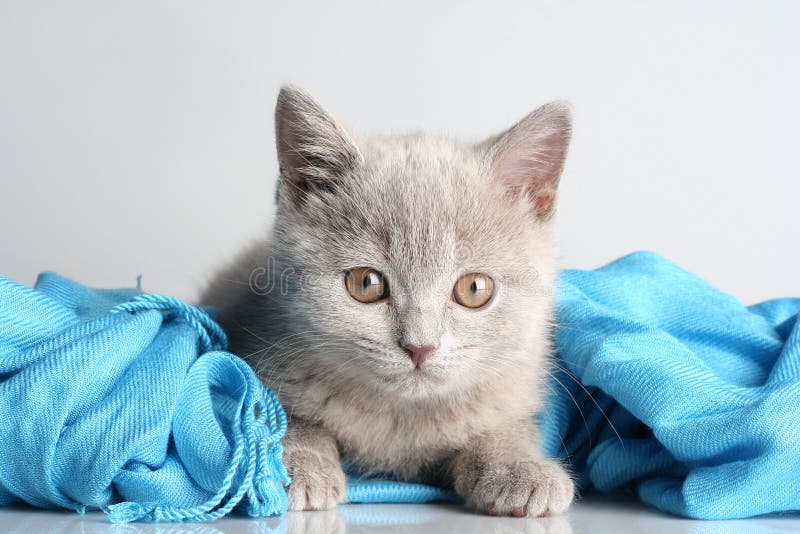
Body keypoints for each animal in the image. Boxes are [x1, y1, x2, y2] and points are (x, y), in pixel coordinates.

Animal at [202, 86, 576, 516]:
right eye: (365, 283)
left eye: (474, 289)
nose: (419, 347)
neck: (402, 418)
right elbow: (288, 418)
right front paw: (295, 466)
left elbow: (503, 429)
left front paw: (520, 468)